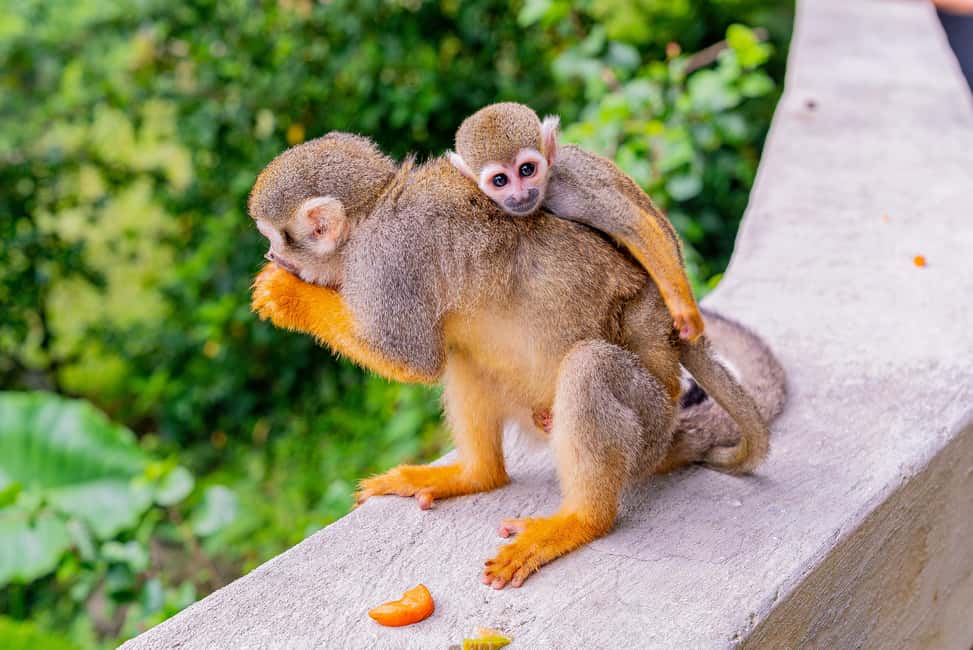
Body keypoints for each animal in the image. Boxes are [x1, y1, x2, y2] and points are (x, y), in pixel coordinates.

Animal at [249, 134, 786, 589]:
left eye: (275, 237)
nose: (271, 255)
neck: (372, 214)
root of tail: (671, 432)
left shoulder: (388, 263)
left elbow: (411, 358)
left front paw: (288, 296)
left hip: (648, 423)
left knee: (589, 368)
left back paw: (580, 522)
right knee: (465, 357)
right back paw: (478, 475)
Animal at [449, 102, 705, 342]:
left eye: (527, 169)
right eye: (500, 180)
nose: (521, 195)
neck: (545, 192)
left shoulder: (572, 186)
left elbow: (633, 225)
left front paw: (686, 312)